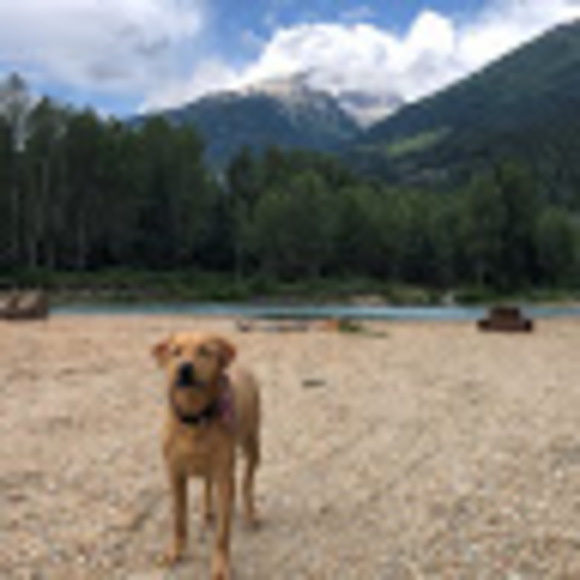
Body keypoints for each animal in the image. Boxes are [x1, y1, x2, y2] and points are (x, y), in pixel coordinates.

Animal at [152, 332, 261, 580]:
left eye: (204, 351)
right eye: (175, 351)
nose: (184, 368)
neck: (194, 420)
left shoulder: (225, 478)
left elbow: (223, 533)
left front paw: (221, 565)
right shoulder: (175, 474)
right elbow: (179, 519)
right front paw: (175, 552)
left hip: (252, 443)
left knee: (248, 481)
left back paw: (250, 513)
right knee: (208, 482)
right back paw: (208, 510)